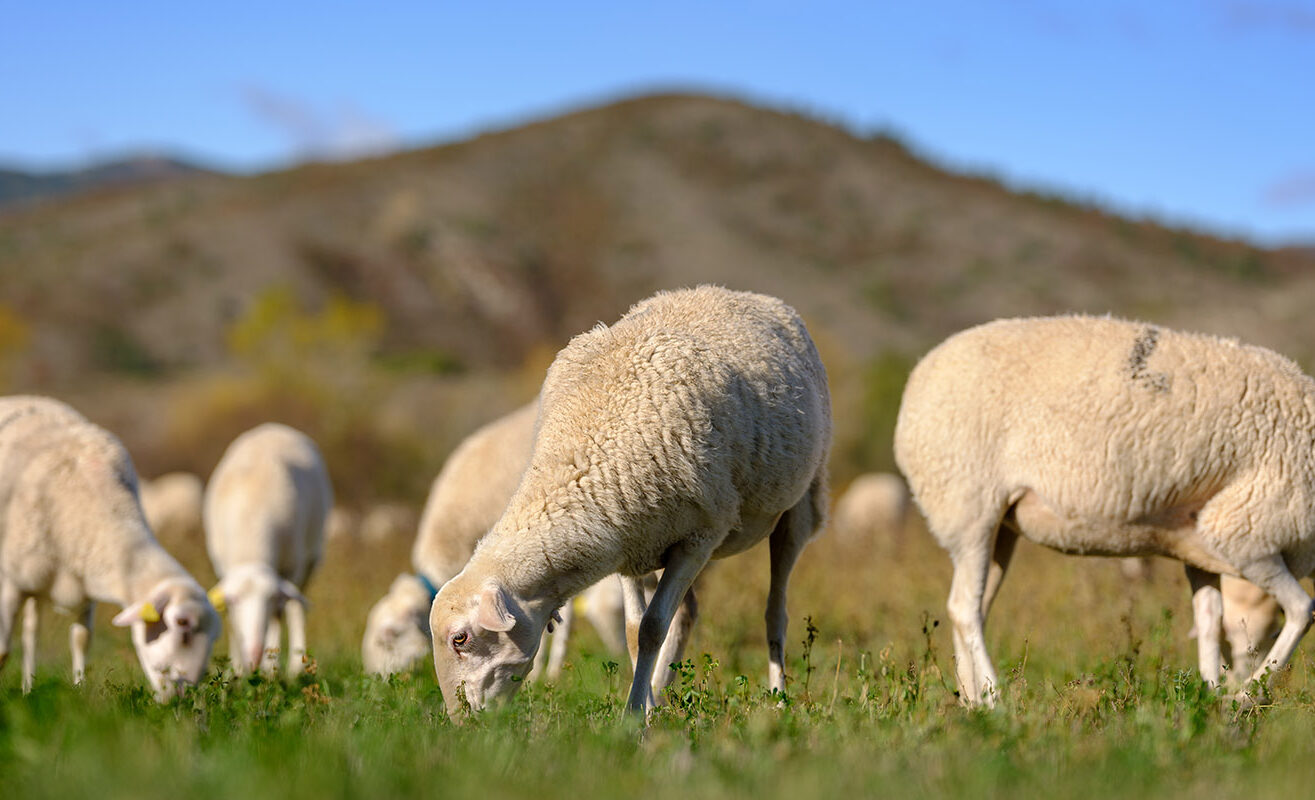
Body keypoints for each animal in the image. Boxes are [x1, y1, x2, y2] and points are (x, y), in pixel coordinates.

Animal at [0, 397, 218, 694]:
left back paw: (28, 688)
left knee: (31, 632)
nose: (181, 695)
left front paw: (80, 691)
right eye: (182, 624)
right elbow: (2, 652)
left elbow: (82, 639)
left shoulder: (84, 581)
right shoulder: (11, 582)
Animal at [205, 421, 331, 678]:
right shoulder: (222, 568)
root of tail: (274, 427)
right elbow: (232, 620)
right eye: (234, 599)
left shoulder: (290, 568)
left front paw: (270, 668)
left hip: (309, 560)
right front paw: (237, 670)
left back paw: (294, 667)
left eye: (270, 598)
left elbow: (279, 614)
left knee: (295, 609)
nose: (253, 654)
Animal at [428, 284, 831, 715]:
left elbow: (653, 629)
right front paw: (647, 708)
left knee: (776, 612)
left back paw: (779, 697)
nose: (461, 720)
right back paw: (666, 692)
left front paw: (634, 715)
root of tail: (742, 293)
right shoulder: (629, 539)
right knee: (687, 613)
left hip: (800, 504)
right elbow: (635, 630)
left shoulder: (698, 539)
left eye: (460, 639)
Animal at [894, 315, 1315, 705]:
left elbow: (1209, 620)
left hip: (999, 526)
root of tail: (919, 375)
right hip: (968, 508)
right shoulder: (1247, 535)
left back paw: (971, 701)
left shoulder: (1200, 548)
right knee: (964, 608)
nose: (1238, 676)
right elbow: (1302, 610)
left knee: (969, 609)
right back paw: (995, 698)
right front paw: (1247, 695)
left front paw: (1211, 696)